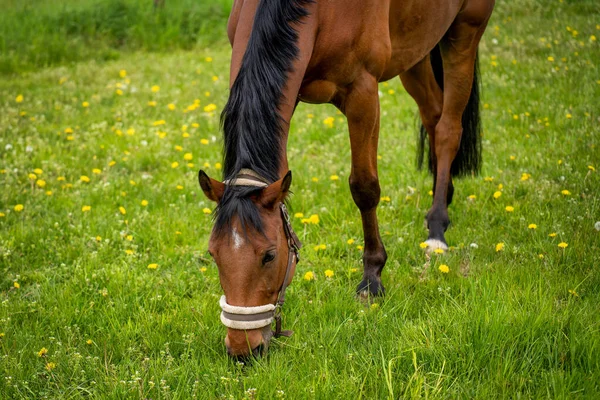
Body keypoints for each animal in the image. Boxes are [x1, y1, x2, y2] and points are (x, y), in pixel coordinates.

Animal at [199, 0, 494, 356]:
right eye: (213, 254)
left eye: (269, 255)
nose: (243, 349)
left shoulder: (362, 93)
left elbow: (364, 188)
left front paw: (372, 277)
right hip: (417, 53)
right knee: (433, 114)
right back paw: (444, 194)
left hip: (464, 34)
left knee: (449, 128)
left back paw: (437, 227)